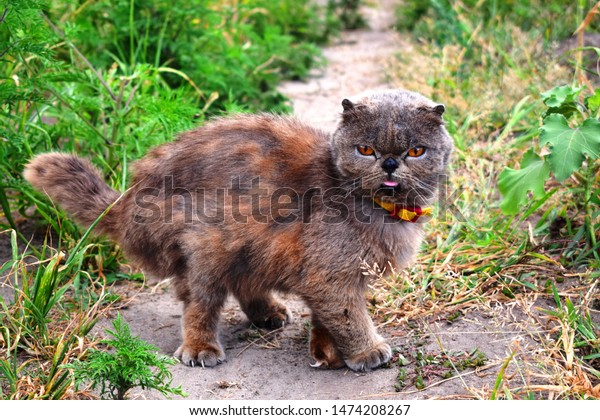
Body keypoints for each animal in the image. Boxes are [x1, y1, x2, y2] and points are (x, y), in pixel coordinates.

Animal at [25, 88, 452, 370]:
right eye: (365, 150)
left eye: (416, 151)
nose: (390, 163)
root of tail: (131, 198)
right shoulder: (329, 274)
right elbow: (349, 316)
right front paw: (365, 351)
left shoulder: (328, 275)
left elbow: (329, 317)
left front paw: (324, 351)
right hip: (207, 245)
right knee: (200, 302)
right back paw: (201, 349)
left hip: (248, 247)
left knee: (245, 283)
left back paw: (269, 314)